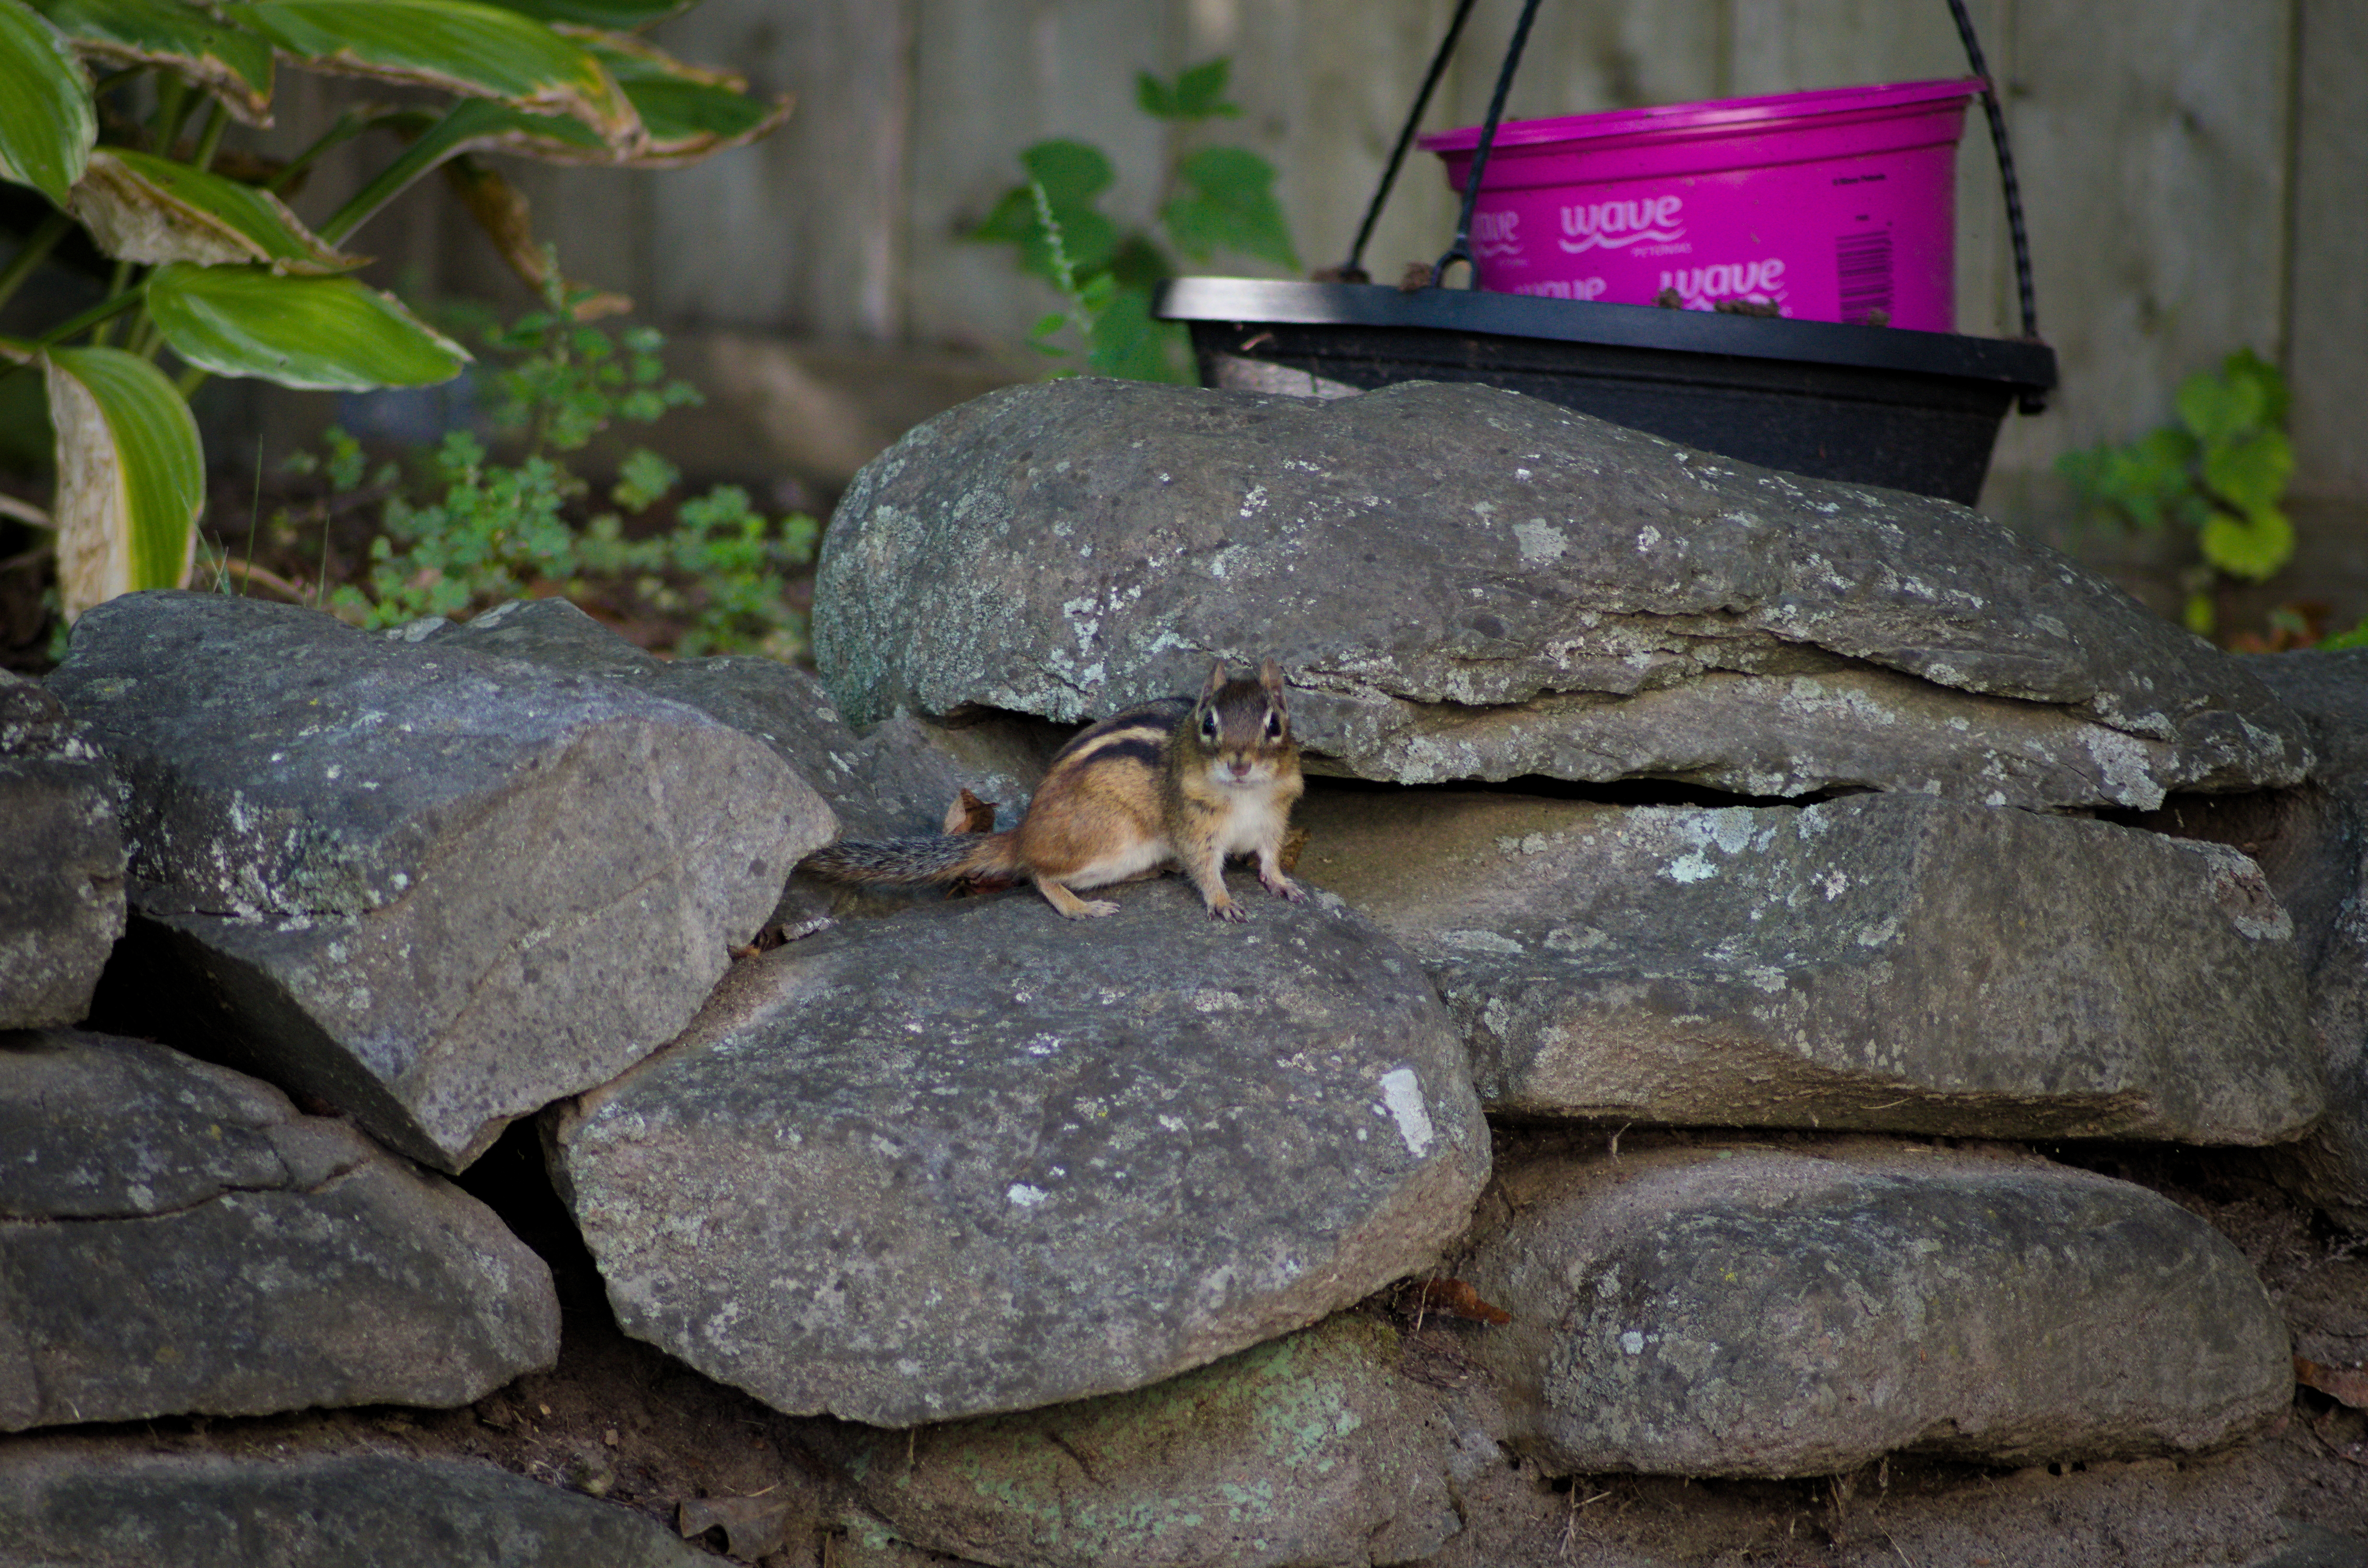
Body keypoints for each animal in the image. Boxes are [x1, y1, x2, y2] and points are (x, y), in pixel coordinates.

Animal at [799, 659, 1307, 921]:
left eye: (1275, 725)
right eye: (1209, 725)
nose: (1239, 763)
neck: (1244, 795)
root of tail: (1022, 833)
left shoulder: (1273, 818)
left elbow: (1269, 855)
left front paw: (1282, 883)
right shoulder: (1193, 827)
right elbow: (1204, 868)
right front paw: (1222, 901)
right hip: (1107, 841)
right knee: (1037, 872)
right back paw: (1080, 907)